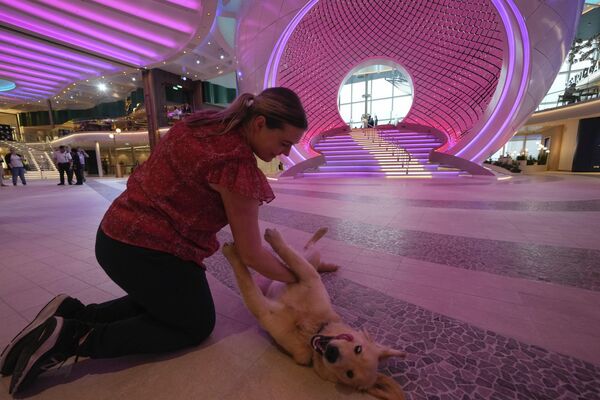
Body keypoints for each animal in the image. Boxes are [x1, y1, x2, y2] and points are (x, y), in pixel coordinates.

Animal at [223, 227, 406, 398]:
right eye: (358, 349)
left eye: (349, 374)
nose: (332, 353)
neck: (311, 328)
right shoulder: (309, 277)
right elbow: (292, 257)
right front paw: (273, 239)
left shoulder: (265, 312)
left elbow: (245, 279)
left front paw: (232, 254)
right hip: (310, 259)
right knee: (307, 250)